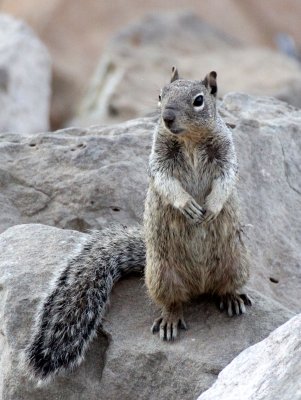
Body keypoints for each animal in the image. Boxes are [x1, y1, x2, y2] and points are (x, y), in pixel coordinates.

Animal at [23, 68, 250, 382]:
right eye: (160, 94)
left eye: (199, 100)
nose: (167, 117)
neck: (190, 139)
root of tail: (200, 284)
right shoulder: (158, 159)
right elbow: (165, 181)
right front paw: (187, 206)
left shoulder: (228, 153)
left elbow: (227, 178)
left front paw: (212, 207)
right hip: (162, 276)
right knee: (173, 303)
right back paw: (169, 321)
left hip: (237, 262)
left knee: (224, 287)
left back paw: (232, 299)